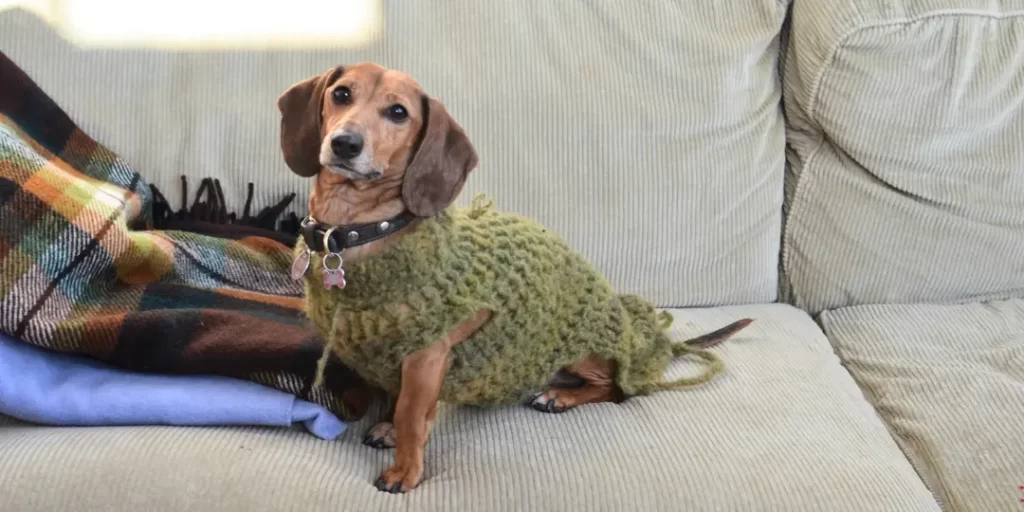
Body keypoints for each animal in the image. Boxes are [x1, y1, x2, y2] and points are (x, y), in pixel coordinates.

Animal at [276, 64, 757, 491]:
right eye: (341, 94)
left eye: (398, 112)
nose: (344, 143)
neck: (358, 231)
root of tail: (639, 335)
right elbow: (404, 406)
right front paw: (391, 431)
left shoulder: (427, 354)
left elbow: (412, 414)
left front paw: (404, 471)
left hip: (579, 346)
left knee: (618, 389)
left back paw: (559, 396)